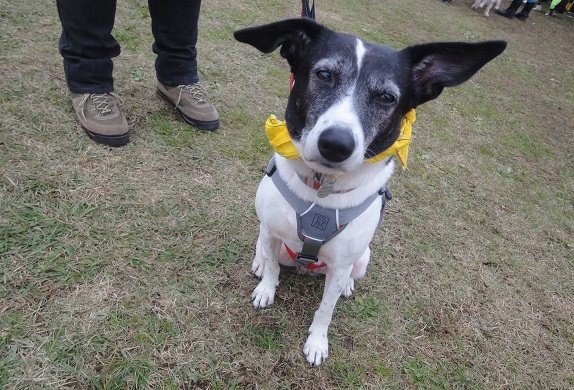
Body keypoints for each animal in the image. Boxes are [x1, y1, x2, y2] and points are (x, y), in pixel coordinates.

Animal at [233, 17, 504, 366]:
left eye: (387, 97)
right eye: (324, 75)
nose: (336, 144)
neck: (324, 185)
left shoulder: (340, 264)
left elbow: (326, 309)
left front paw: (317, 342)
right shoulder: (271, 230)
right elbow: (272, 267)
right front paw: (266, 289)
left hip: (363, 258)